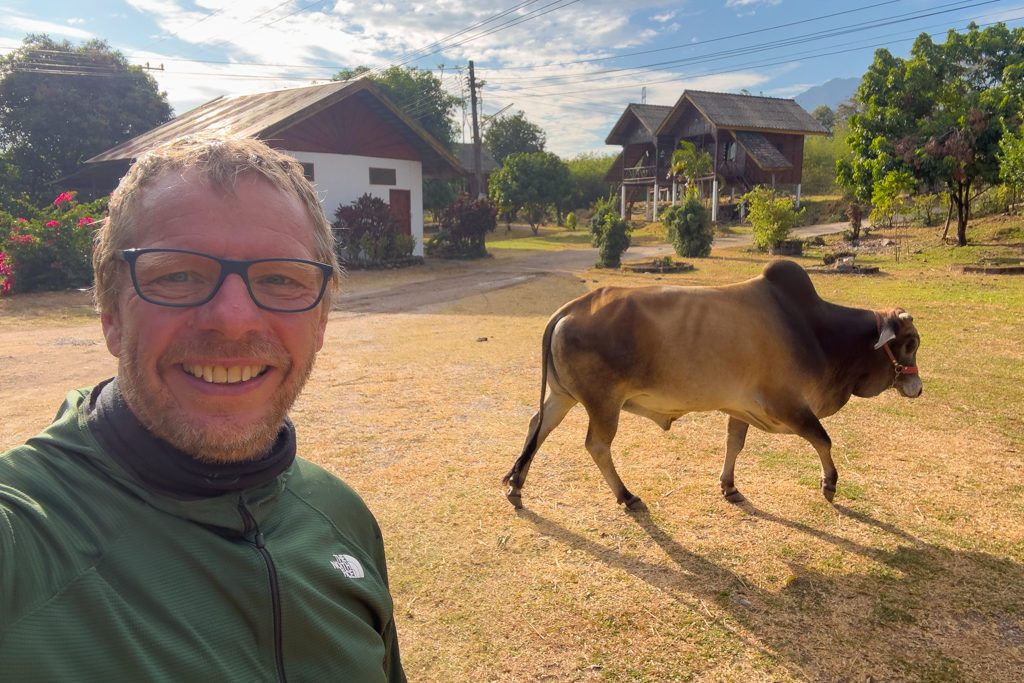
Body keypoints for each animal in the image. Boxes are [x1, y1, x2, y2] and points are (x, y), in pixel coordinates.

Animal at [503, 259, 921, 509]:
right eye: (910, 343)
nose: (917, 388)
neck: (814, 330)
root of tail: (569, 308)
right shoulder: (788, 405)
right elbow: (823, 440)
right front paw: (829, 484)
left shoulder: (741, 407)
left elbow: (734, 444)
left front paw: (729, 485)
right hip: (603, 403)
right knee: (596, 445)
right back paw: (626, 495)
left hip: (563, 396)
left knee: (537, 427)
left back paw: (517, 483)